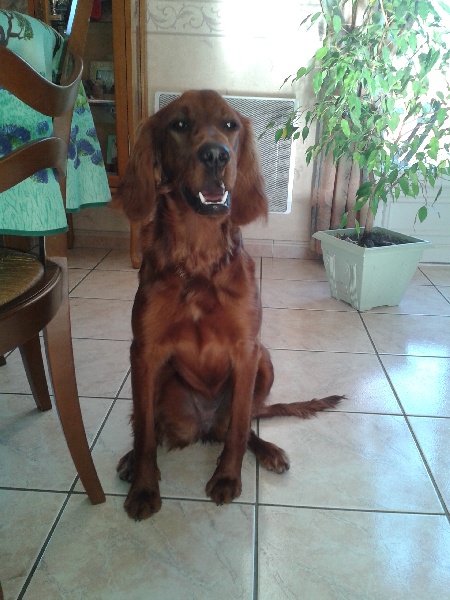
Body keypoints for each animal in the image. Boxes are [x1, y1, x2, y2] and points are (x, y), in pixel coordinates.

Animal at [114, 90, 342, 520]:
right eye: (180, 124)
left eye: (229, 125)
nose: (216, 156)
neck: (199, 259)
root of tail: (204, 426)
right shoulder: (144, 351)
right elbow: (146, 434)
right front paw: (144, 487)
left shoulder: (246, 350)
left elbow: (238, 430)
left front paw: (226, 477)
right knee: (145, 423)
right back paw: (129, 461)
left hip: (265, 361)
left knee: (244, 422)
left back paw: (267, 450)